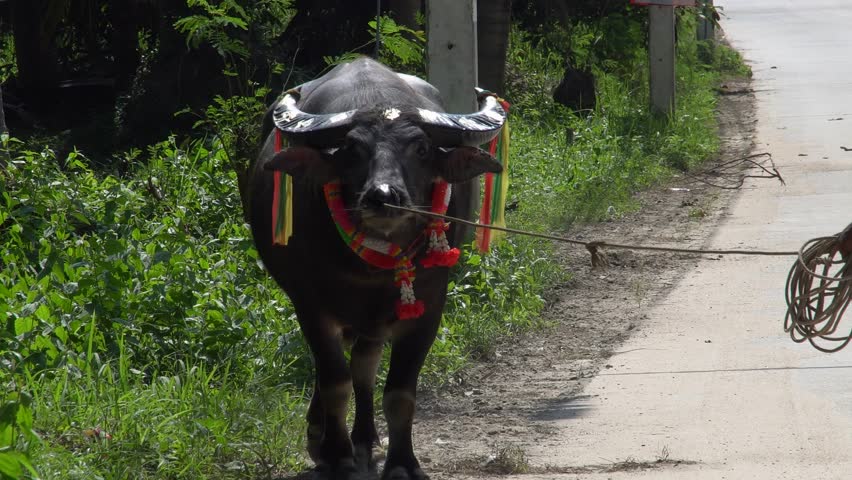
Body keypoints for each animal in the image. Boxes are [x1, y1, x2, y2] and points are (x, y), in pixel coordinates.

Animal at [248, 57, 506, 479]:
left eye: (421, 147)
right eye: (352, 149)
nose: (383, 197)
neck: (369, 271)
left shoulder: (428, 307)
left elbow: (398, 391)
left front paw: (402, 462)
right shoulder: (310, 305)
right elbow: (334, 382)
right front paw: (337, 455)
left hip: (376, 320)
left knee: (364, 366)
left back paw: (365, 439)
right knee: (339, 368)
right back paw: (322, 438)